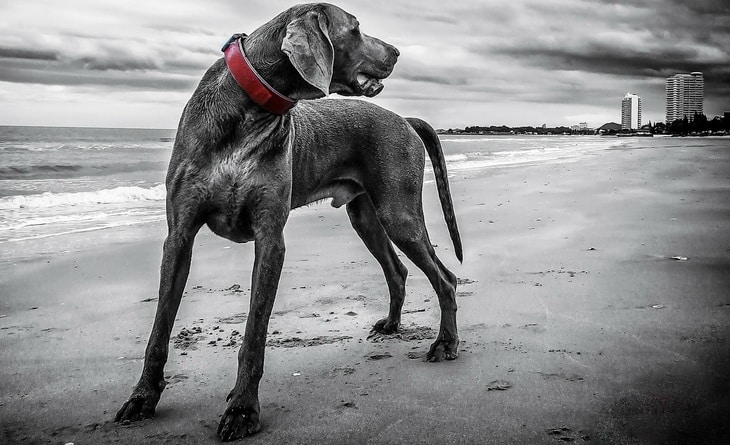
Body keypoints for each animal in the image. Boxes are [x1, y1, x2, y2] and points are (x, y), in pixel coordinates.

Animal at [117, 2, 464, 440]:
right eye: (355, 28)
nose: (397, 52)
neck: (250, 111)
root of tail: (404, 119)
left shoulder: (270, 240)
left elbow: (254, 333)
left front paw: (242, 410)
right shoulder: (179, 236)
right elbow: (160, 328)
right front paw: (142, 398)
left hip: (398, 213)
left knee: (445, 278)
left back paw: (446, 344)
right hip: (365, 215)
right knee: (398, 270)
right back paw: (391, 325)